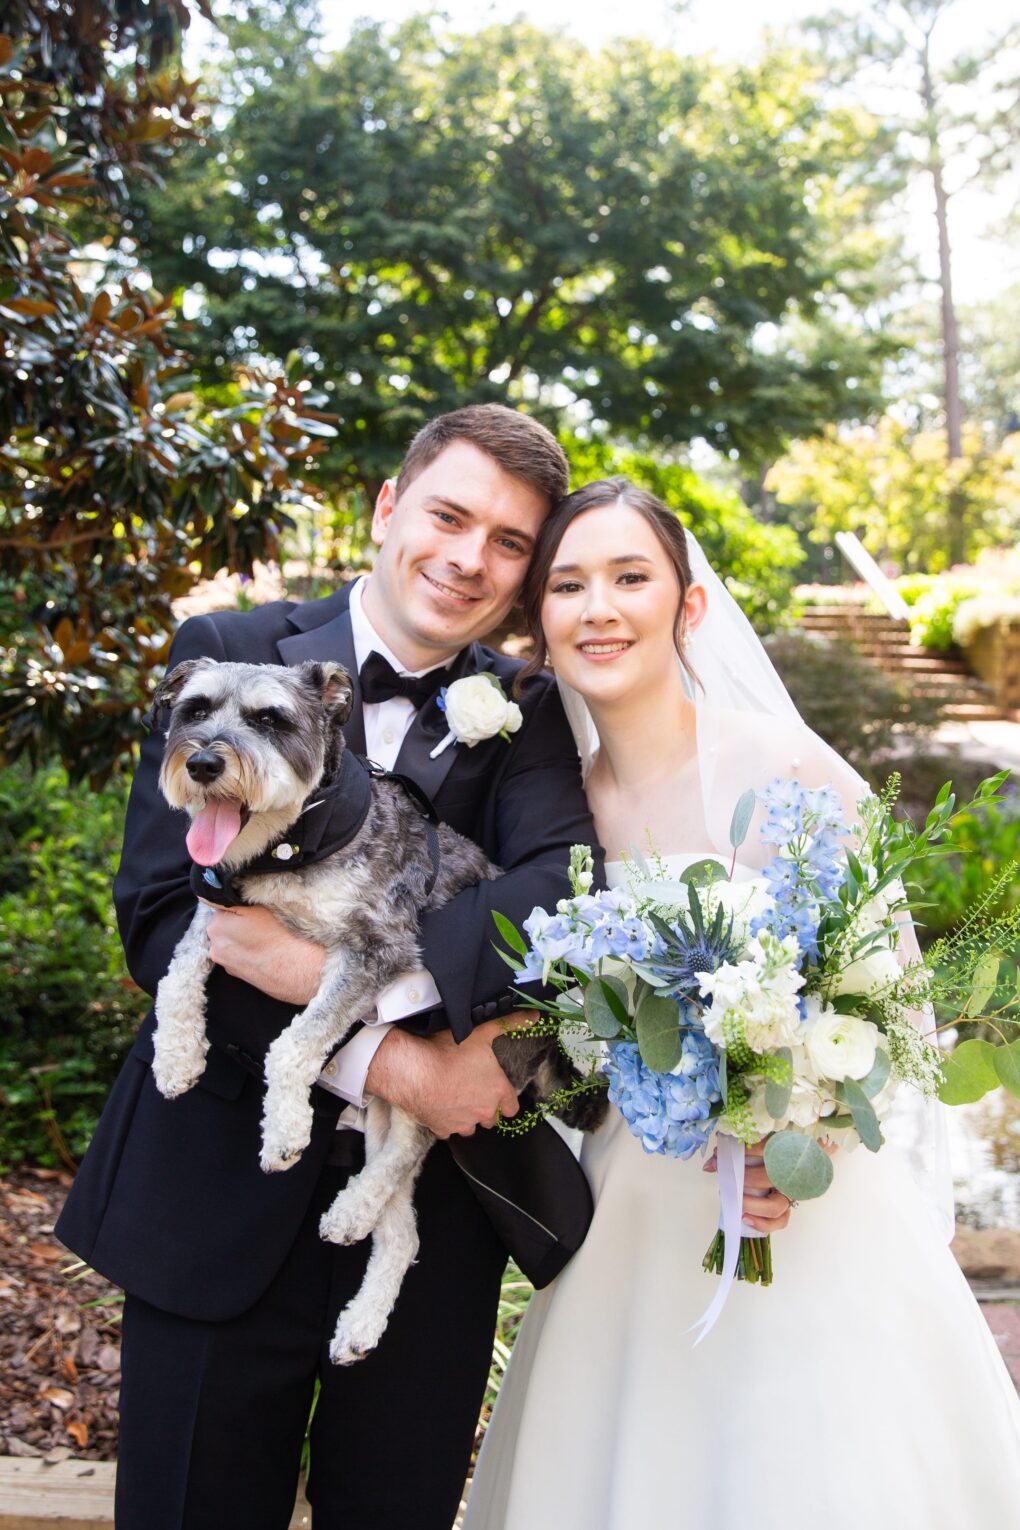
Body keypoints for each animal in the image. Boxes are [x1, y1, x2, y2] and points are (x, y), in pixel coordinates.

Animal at [147, 654, 602, 1364]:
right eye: (195, 710)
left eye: (270, 719)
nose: (202, 763)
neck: (300, 842)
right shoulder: (217, 915)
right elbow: (176, 976)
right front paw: (176, 1058)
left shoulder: (376, 951)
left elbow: (295, 1043)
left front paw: (284, 1131)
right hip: (385, 1099)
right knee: (403, 1229)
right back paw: (360, 1305)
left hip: (433, 1071)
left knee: (411, 1147)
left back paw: (351, 1209)